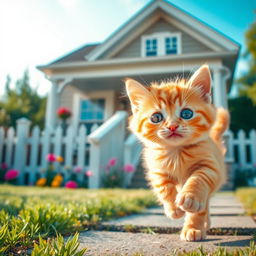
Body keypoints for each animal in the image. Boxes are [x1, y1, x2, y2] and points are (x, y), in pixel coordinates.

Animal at [125, 65, 229, 241]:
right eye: (156, 117)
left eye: (187, 114)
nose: (172, 126)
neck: (177, 153)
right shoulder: (156, 170)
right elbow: (164, 187)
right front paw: (174, 208)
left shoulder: (211, 166)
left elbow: (198, 179)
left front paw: (190, 197)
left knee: (203, 205)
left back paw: (195, 228)